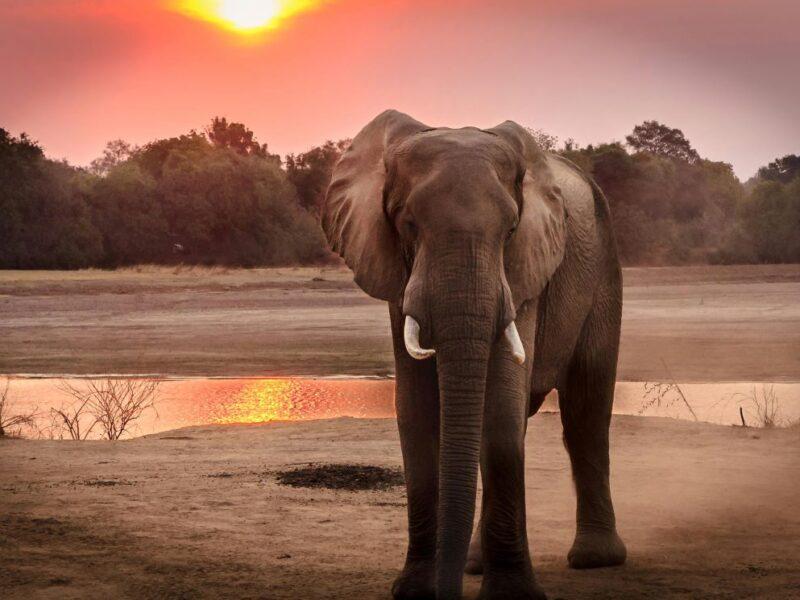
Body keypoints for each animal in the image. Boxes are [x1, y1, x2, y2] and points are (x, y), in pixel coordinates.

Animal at [321, 110, 626, 600]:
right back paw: (475, 564)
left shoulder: (523, 271)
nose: (445, 591)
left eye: (511, 230)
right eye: (407, 225)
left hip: (603, 268)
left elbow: (500, 407)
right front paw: (415, 590)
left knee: (586, 411)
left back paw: (595, 559)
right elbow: (417, 410)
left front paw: (511, 596)